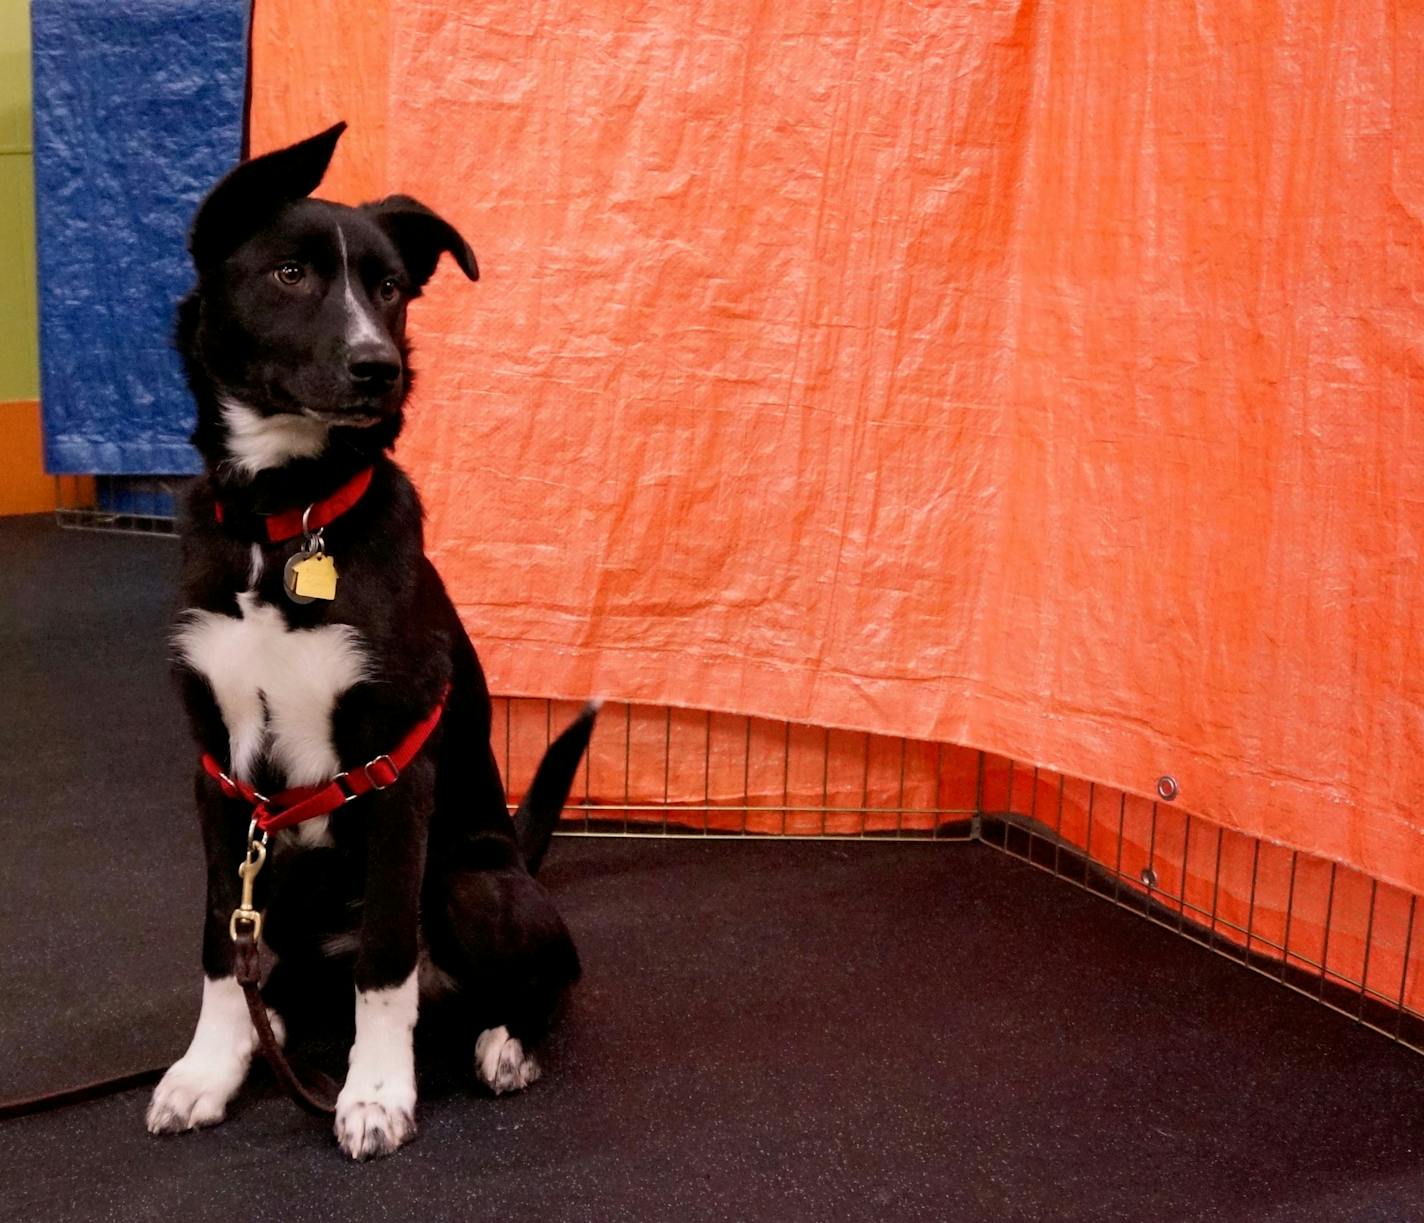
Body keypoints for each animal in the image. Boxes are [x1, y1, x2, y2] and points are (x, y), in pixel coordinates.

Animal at [144, 126, 589, 1167]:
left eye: (389, 288)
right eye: (291, 273)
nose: (376, 366)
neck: (283, 523)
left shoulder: (394, 772)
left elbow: (387, 961)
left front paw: (378, 1092)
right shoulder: (218, 772)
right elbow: (219, 944)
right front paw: (207, 1068)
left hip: (472, 884)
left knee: (544, 976)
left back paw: (505, 1043)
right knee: (279, 969)